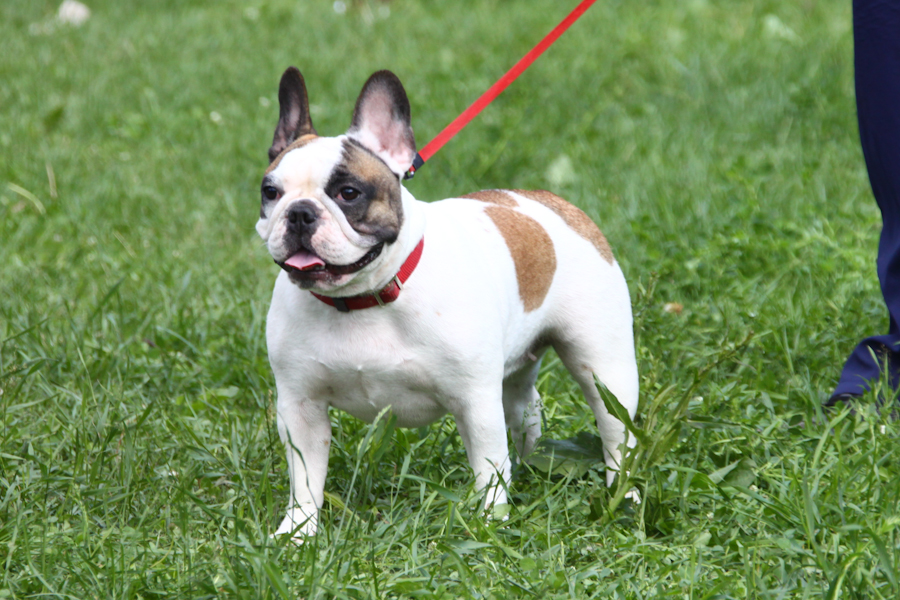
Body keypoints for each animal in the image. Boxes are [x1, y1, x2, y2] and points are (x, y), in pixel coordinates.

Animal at [256, 67, 639, 540]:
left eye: (348, 193)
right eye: (270, 192)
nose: (300, 213)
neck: (365, 297)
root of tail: (554, 202)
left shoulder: (474, 401)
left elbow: (488, 466)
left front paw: (489, 524)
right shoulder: (300, 407)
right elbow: (307, 476)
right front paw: (298, 531)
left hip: (604, 367)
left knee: (616, 433)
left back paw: (624, 495)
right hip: (516, 378)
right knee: (525, 410)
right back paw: (533, 466)